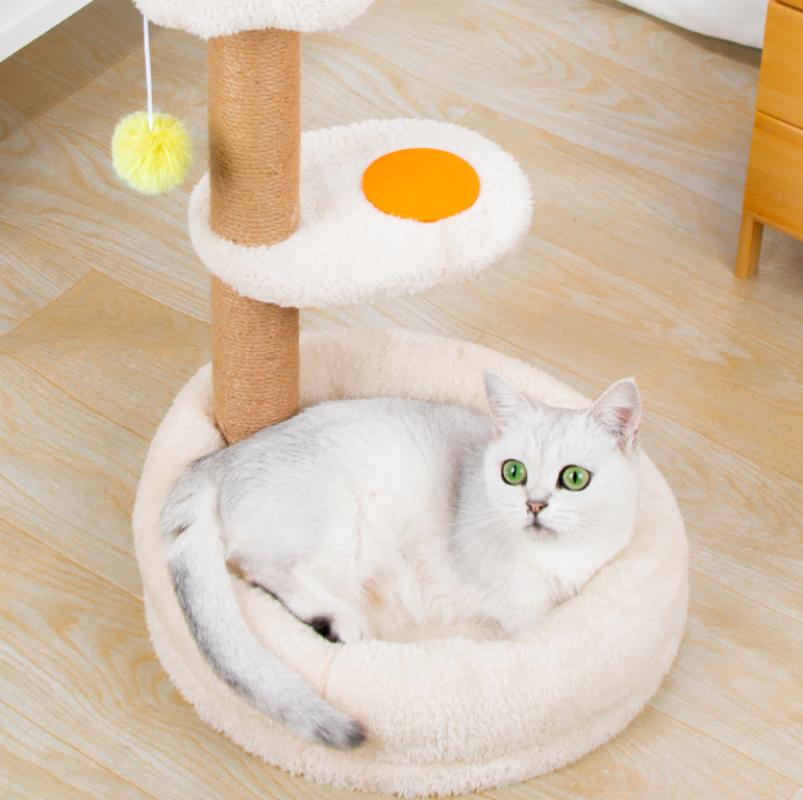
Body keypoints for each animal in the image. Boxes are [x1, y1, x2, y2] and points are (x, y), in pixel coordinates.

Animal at [161, 372, 641, 750]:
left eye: (574, 478)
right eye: (513, 472)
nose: (535, 506)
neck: (560, 557)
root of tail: (215, 460)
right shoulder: (523, 612)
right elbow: (533, 621)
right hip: (336, 525)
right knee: (262, 565)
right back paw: (336, 621)